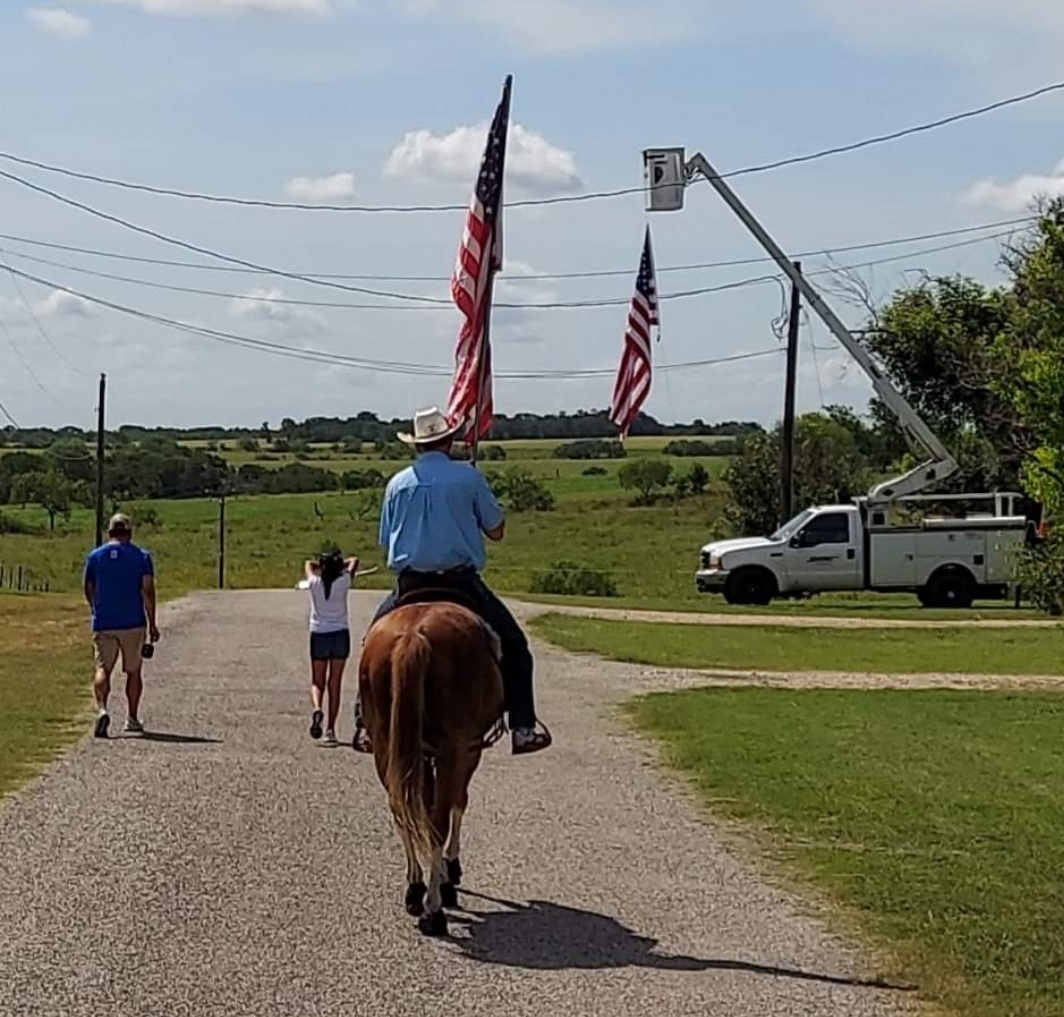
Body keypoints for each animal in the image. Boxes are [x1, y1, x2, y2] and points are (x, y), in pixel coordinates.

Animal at [359, 595, 504, 936]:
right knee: (438, 820)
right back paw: (434, 909)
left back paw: (415, 890)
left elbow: (421, 808)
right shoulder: (468, 750)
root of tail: (414, 635)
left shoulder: (420, 755)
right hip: (454, 750)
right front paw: (451, 872)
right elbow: (457, 804)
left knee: (402, 810)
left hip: (386, 746)